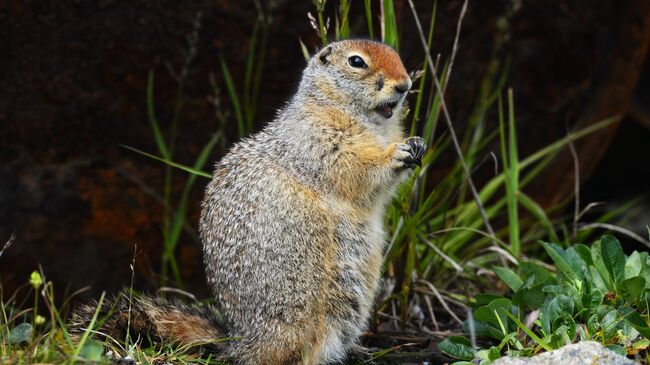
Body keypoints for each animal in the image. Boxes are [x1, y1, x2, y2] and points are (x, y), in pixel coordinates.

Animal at [69, 39, 426, 364]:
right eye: (356, 61)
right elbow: (352, 167)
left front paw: (417, 143)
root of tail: (240, 341)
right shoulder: (319, 136)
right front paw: (396, 154)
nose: (405, 84)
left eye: (395, 54)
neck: (370, 122)